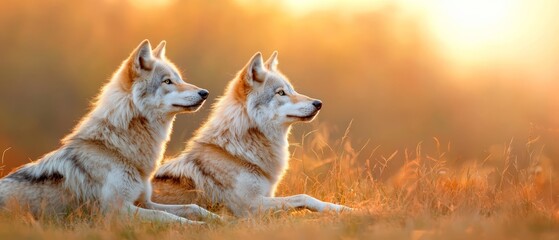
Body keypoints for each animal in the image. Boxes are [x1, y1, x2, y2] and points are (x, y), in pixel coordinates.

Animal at [0, 39, 219, 225]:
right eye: (167, 82)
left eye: (179, 79)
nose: (205, 93)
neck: (115, 148)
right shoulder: (118, 210)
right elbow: (166, 216)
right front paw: (198, 226)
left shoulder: (144, 201)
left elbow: (192, 206)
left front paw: (219, 220)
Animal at [152, 51, 354, 217]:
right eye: (281, 93)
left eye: (292, 90)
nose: (318, 103)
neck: (237, 151)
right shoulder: (250, 206)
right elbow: (302, 197)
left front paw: (341, 209)